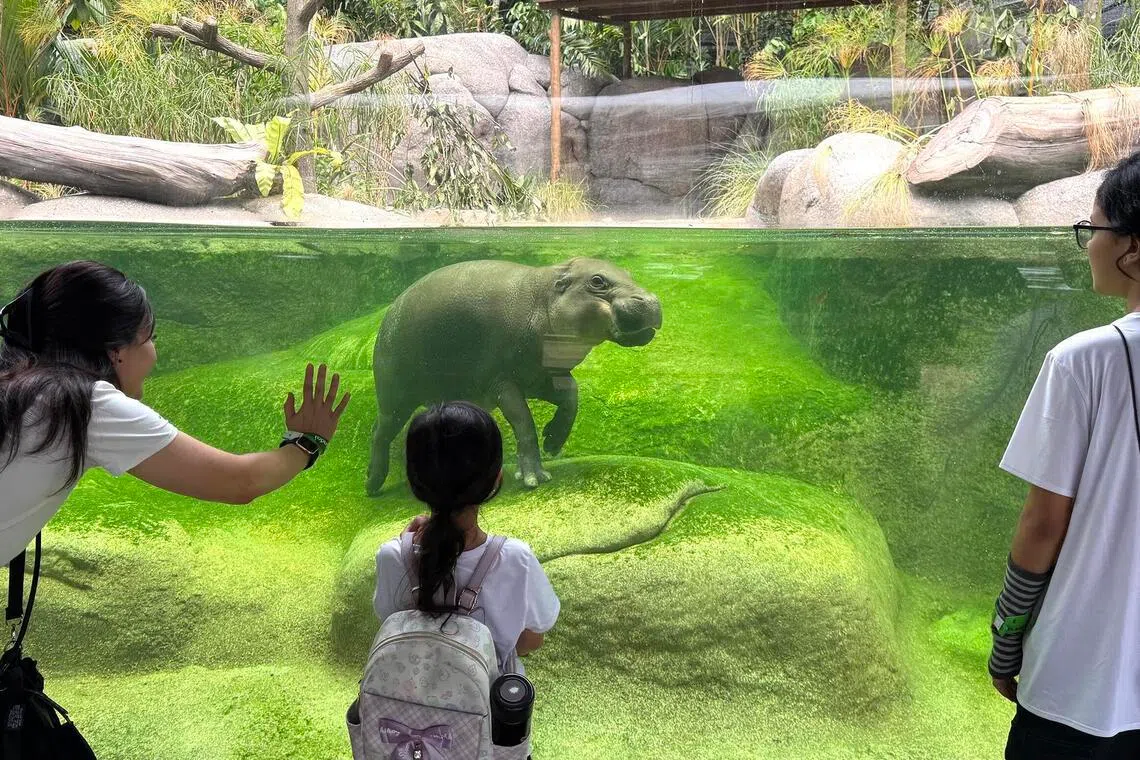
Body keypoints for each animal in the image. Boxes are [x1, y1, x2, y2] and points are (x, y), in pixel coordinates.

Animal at [366, 258, 662, 495]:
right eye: (597, 280)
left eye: (628, 273)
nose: (651, 301)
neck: (543, 300)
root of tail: (386, 316)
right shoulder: (503, 382)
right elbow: (524, 423)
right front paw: (534, 477)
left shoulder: (545, 376)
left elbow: (572, 397)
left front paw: (553, 442)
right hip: (395, 396)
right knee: (380, 432)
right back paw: (372, 485)